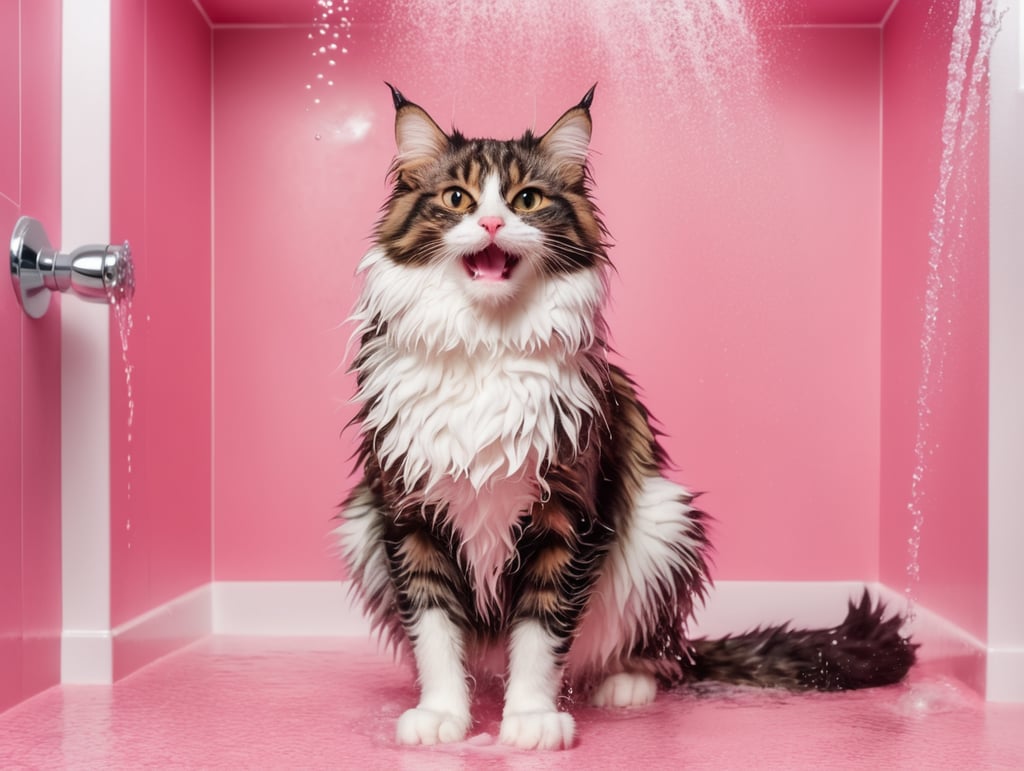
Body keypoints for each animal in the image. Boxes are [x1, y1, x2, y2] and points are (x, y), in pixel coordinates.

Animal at [337, 85, 921, 753]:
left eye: (527, 200)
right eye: (457, 198)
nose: (490, 223)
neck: (487, 345)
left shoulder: (566, 513)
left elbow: (540, 629)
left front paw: (532, 719)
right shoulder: (405, 512)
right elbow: (433, 628)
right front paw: (441, 714)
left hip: (665, 521)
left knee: (647, 655)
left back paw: (623, 684)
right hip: (360, 523)